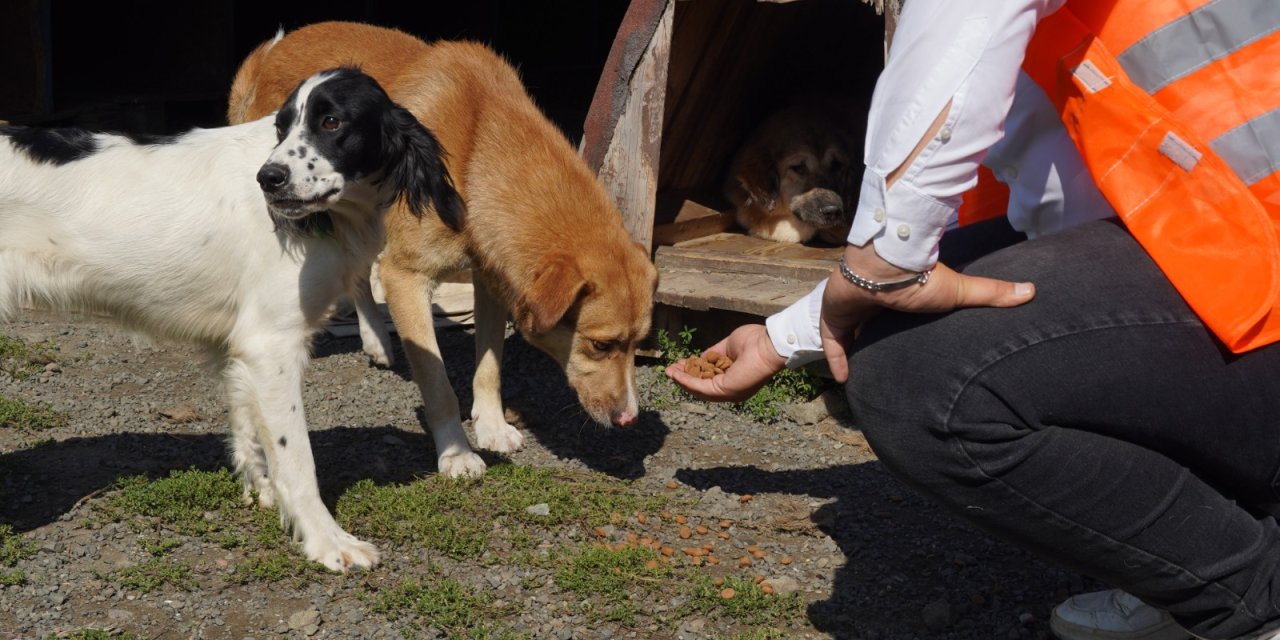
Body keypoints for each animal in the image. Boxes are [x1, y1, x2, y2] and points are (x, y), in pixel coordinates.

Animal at [0, 68, 460, 570]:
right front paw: (326, 540)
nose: (269, 178)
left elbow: (248, 426)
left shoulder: (242, 346)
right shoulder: (272, 345)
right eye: (282, 125)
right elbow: (297, 458)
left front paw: (263, 492)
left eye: (332, 121)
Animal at [226, 22, 660, 478]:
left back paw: (376, 339)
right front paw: (456, 452)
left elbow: (489, 367)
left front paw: (492, 426)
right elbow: (438, 385)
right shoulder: (406, 277)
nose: (628, 419)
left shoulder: (491, 280)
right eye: (601, 345)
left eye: (638, 343)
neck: (477, 149)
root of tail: (271, 52)